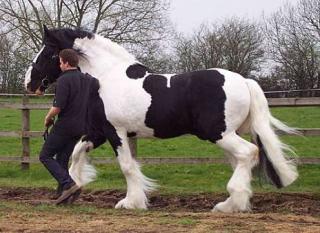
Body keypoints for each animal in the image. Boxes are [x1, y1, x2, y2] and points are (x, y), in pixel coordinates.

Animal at [24, 26, 298, 213]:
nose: (29, 82)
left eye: (47, 52)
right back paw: (232, 203)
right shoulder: (101, 132)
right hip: (230, 135)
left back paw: (230, 203)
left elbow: (126, 166)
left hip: (219, 134)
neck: (107, 77)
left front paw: (129, 202)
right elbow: (77, 153)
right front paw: (73, 188)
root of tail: (244, 81)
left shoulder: (116, 132)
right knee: (242, 160)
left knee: (249, 153)